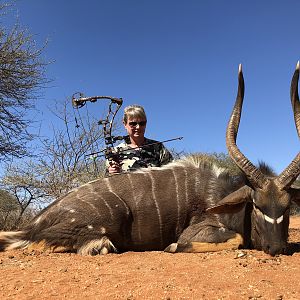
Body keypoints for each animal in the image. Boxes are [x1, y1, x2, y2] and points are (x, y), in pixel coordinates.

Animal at [0, 62, 298, 255]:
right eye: (257, 205)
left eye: (286, 207)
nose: (276, 248)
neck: (223, 194)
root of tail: (35, 223)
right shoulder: (199, 230)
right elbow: (230, 239)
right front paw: (173, 246)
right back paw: (98, 246)